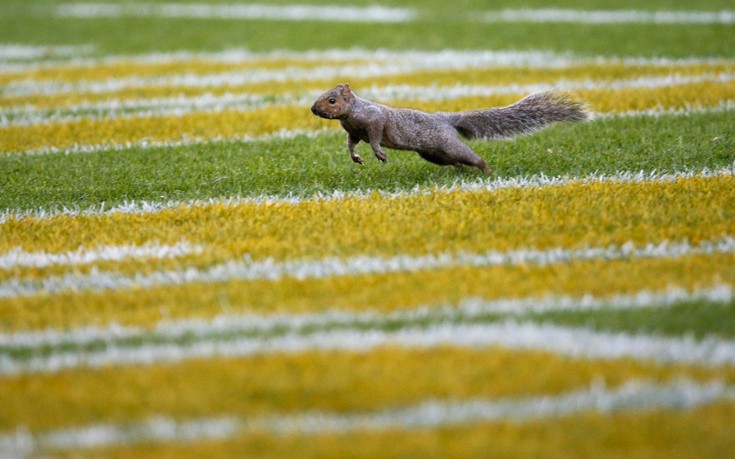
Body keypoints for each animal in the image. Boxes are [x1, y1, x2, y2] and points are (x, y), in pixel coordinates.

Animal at [310, 83, 592, 175]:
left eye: (332, 100)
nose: (313, 108)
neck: (352, 112)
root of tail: (447, 119)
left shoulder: (375, 119)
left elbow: (376, 135)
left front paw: (379, 153)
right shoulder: (353, 131)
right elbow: (351, 144)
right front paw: (355, 157)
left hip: (447, 144)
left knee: (472, 157)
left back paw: (486, 171)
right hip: (434, 154)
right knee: (455, 161)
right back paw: (459, 171)